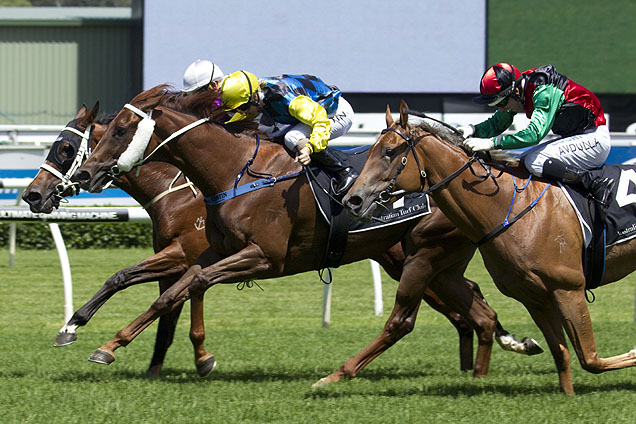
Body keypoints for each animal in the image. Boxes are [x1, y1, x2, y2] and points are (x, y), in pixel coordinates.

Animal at [73, 85, 540, 380]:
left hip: (424, 257)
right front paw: (104, 343)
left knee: (453, 310)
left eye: (120, 130)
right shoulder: (211, 251)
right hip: (435, 263)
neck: (235, 172)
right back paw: (486, 368)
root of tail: (471, 169)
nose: (86, 173)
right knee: (479, 309)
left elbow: (195, 284)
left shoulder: (265, 257)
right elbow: (174, 291)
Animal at [346, 102, 636, 394]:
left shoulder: (568, 287)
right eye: (369, 151)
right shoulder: (534, 296)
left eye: (389, 151)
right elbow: (562, 354)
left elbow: (590, 359)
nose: (352, 199)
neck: (510, 205)